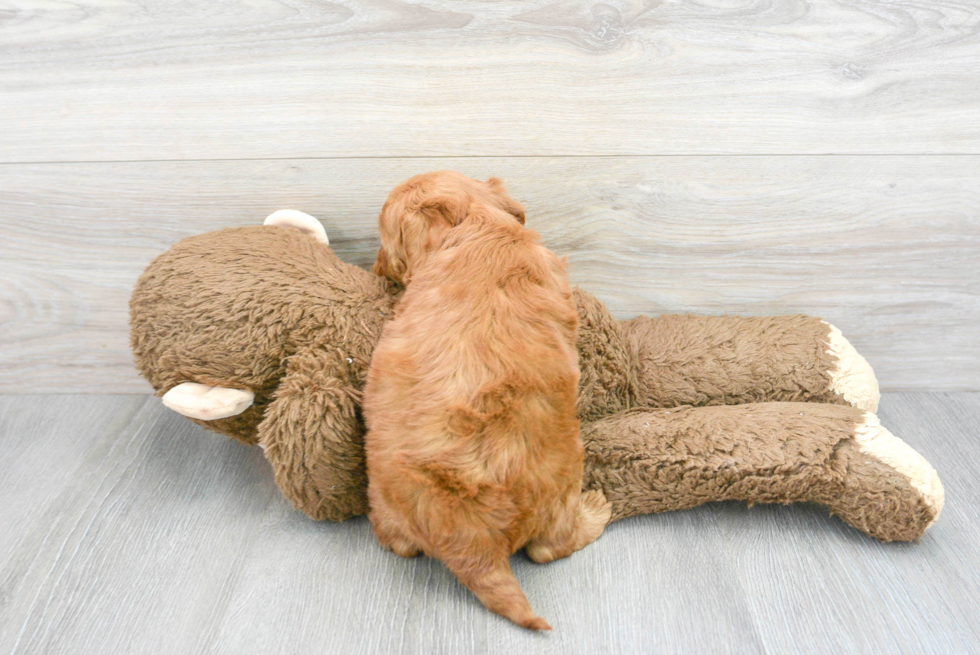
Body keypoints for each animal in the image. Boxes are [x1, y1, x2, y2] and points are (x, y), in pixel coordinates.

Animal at [364, 173, 608, 632]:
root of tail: (474, 544)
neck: (478, 225)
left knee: (398, 543)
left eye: (385, 239)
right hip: (563, 489)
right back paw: (599, 507)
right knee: (550, 547)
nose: (376, 266)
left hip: (385, 502)